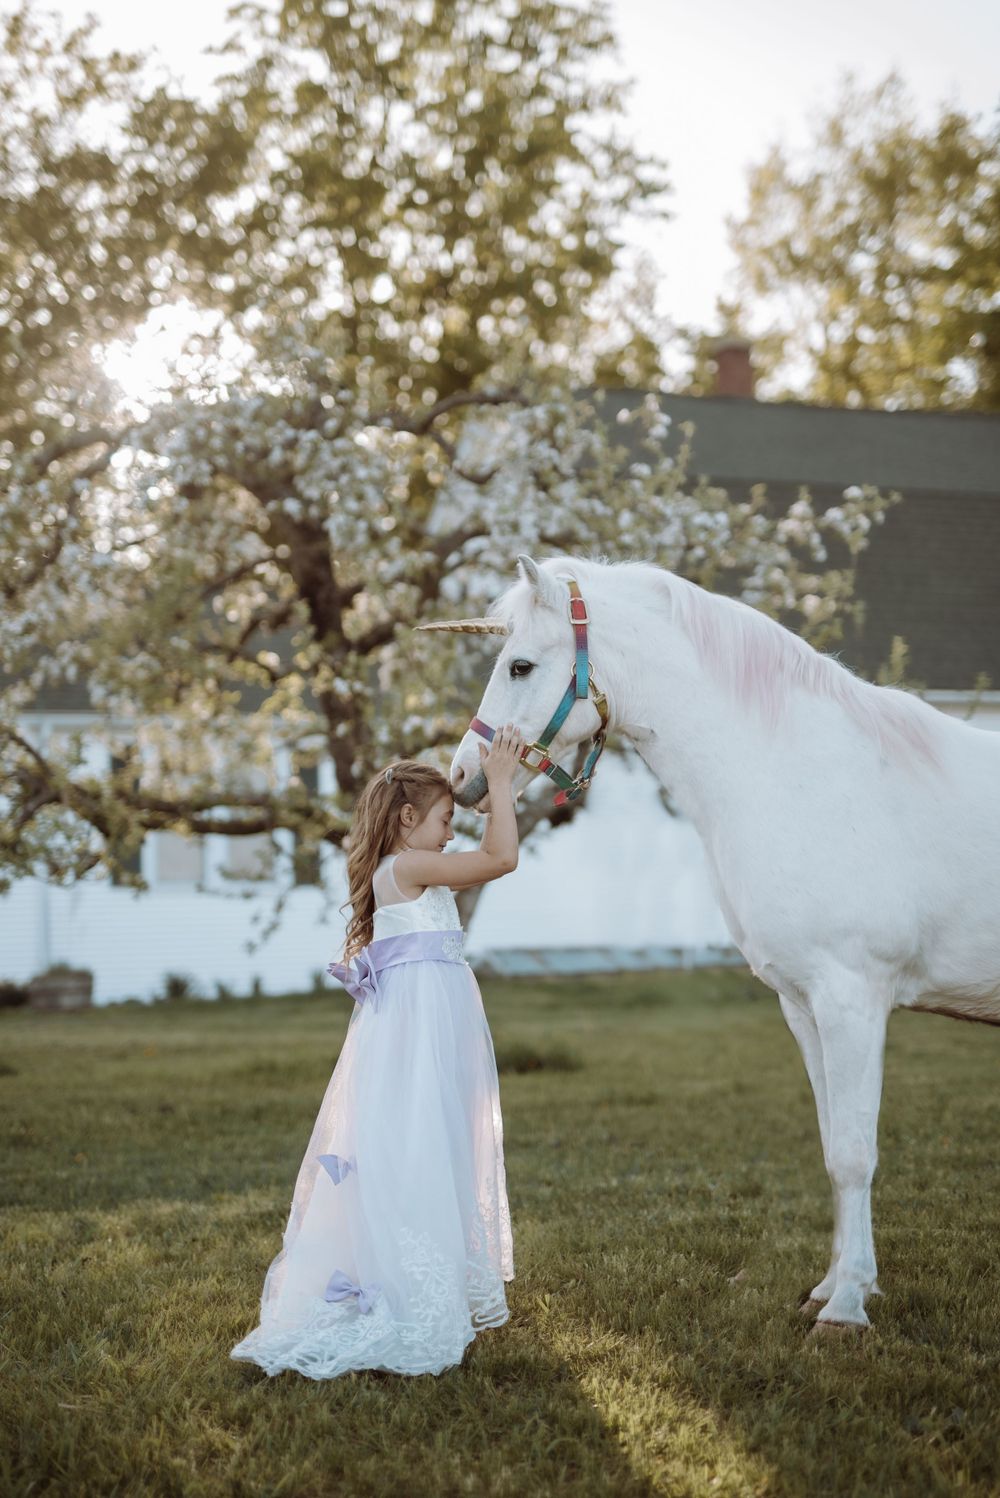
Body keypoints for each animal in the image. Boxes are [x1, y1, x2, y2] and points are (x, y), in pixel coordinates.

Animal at [419, 553, 1000, 1328]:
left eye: (519, 665)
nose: (461, 778)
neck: (804, 776)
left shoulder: (853, 1001)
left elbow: (854, 1153)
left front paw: (846, 1308)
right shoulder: (804, 1006)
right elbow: (831, 1147)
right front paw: (834, 1285)